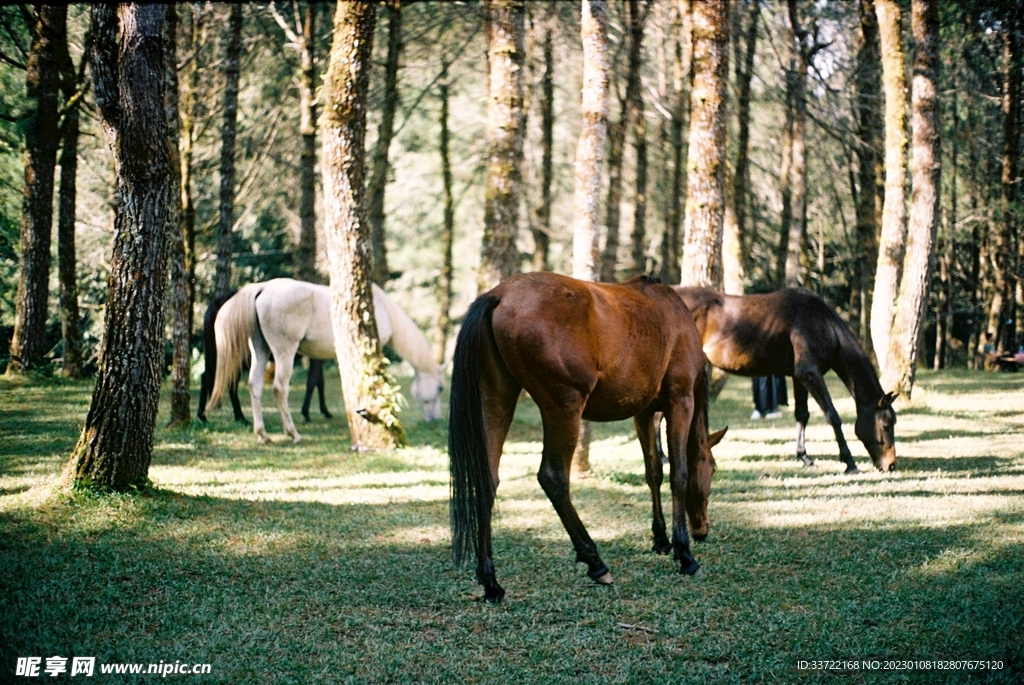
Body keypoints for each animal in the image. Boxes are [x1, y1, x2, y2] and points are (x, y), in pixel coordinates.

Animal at [197, 292, 332, 425]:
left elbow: (319, 382)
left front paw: (324, 411)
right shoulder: (316, 357)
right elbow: (313, 382)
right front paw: (307, 413)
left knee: (209, 378)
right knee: (221, 382)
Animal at [449, 273, 727, 603]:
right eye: (713, 469)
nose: (702, 530)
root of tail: (500, 295)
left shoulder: (644, 413)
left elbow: (653, 472)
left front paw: (661, 540)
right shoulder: (680, 401)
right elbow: (679, 475)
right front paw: (684, 553)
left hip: (496, 400)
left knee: (488, 482)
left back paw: (491, 582)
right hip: (564, 408)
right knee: (553, 477)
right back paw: (595, 561)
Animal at [674, 286, 896, 473]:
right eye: (886, 424)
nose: (891, 465)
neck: (821, 324)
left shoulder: (800, 377)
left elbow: (802, 414)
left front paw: (804, 457)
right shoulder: (810, 374)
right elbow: (833, 416)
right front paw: (849, 462)